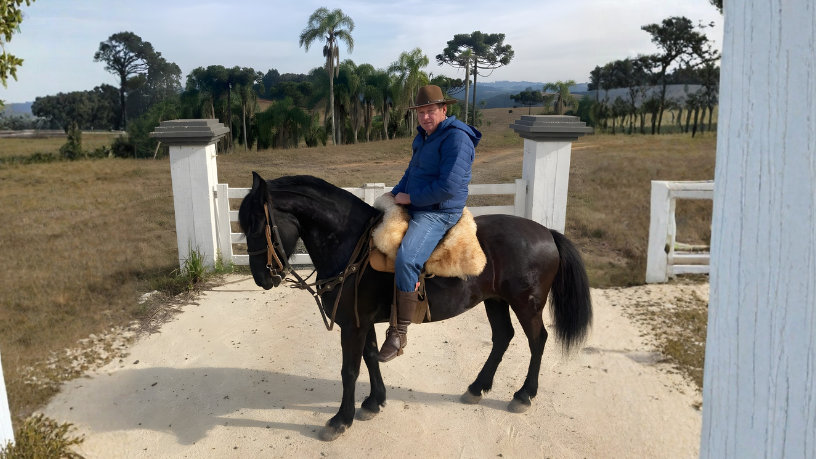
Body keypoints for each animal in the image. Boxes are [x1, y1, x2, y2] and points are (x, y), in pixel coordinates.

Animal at [238, 172, 593, 441]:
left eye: (256, 225)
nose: (261, 278)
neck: (352, 245)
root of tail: (546, 232)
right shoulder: (362, 321)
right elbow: (370, 357)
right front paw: (374, 402)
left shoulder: (353, 325)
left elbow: (350, 370)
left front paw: (341, 419)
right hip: (495, 301)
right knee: (503, 337)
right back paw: (477, 388)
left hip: (526, 304)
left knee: (537, 341)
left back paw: (524, 394)